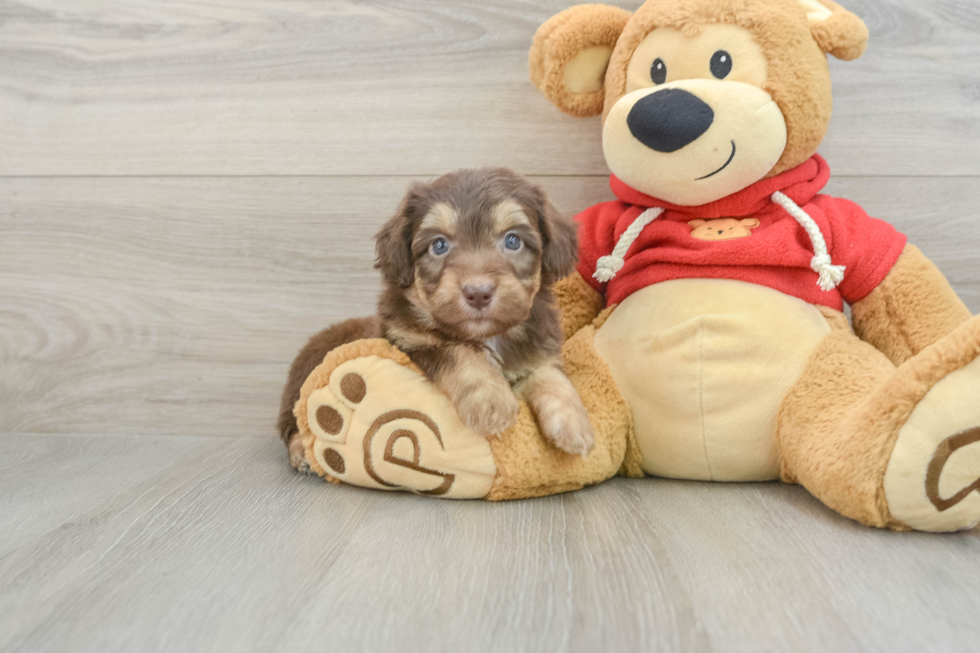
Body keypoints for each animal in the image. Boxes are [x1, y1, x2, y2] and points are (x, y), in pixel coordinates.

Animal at [278, 169, 596, 468]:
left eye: (513, 240)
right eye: (439, 245)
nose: (478, 293)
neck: (488, 336)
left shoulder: (537, 353)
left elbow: (551, 377)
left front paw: (575, 424)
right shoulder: (411, 341)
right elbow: (460, 354)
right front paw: (491, 403)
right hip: (304, 380)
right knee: (293, 423)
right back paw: (301, 451)